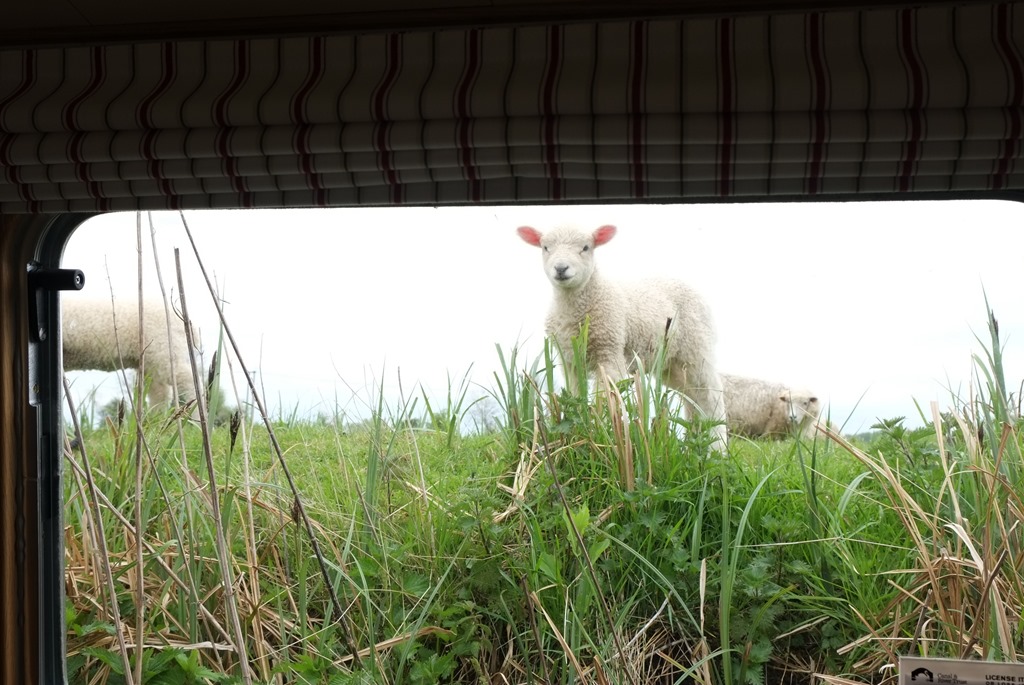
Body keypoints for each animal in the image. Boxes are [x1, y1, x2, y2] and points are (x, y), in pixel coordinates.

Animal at [62, 297, 196, 407]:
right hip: (151, 361)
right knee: (160, 392)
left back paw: (195, 418)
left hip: (165, 349)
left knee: (188, 380)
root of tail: (187, 323)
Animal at [518, 223, 728, 452]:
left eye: (586, 247)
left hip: (697, 348)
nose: (561, 268)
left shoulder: (609, 349)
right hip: (670, 364)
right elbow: (575, 395)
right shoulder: (569, 360)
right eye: (545, 247)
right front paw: (577, 429)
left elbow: (604, 398)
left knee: (710, 395)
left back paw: (718, 448)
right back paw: (695, 442)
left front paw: (600, 433)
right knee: (691, 397)